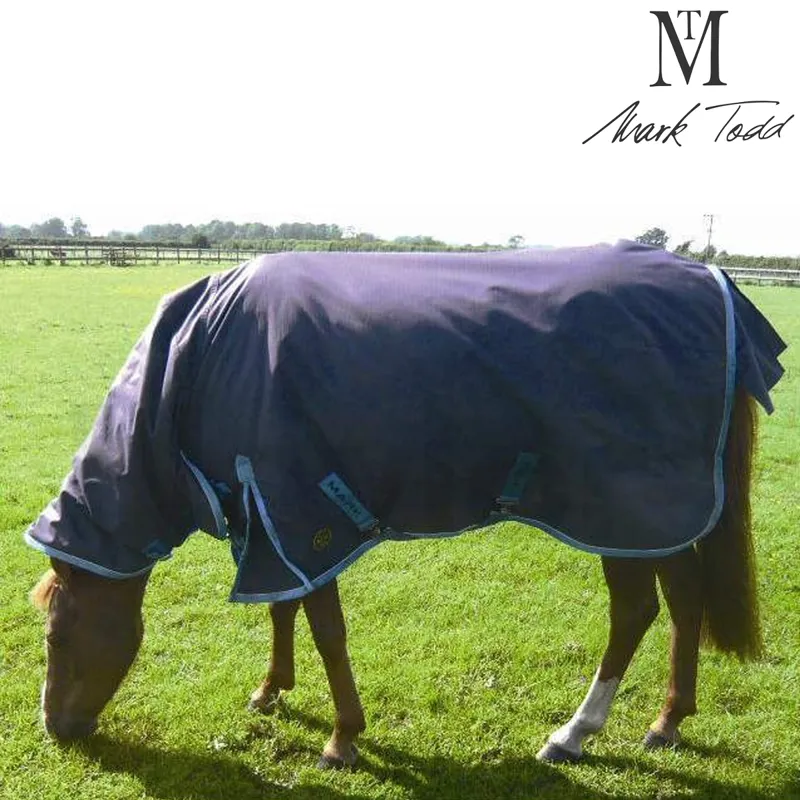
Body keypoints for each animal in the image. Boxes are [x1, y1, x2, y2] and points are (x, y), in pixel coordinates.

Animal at [26, 244, 785, 769]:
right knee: (682, 602)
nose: (56, 730)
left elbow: (327, 630)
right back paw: (667, 722)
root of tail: (710, 280)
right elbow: (282, 610)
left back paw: (576, 733)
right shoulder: (268, 520)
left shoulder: (304, 516)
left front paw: (342, 739)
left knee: (636, 612)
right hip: (650, 519)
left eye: (58, 636)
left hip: (622, 512)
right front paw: (272, 691)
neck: (203, 357)